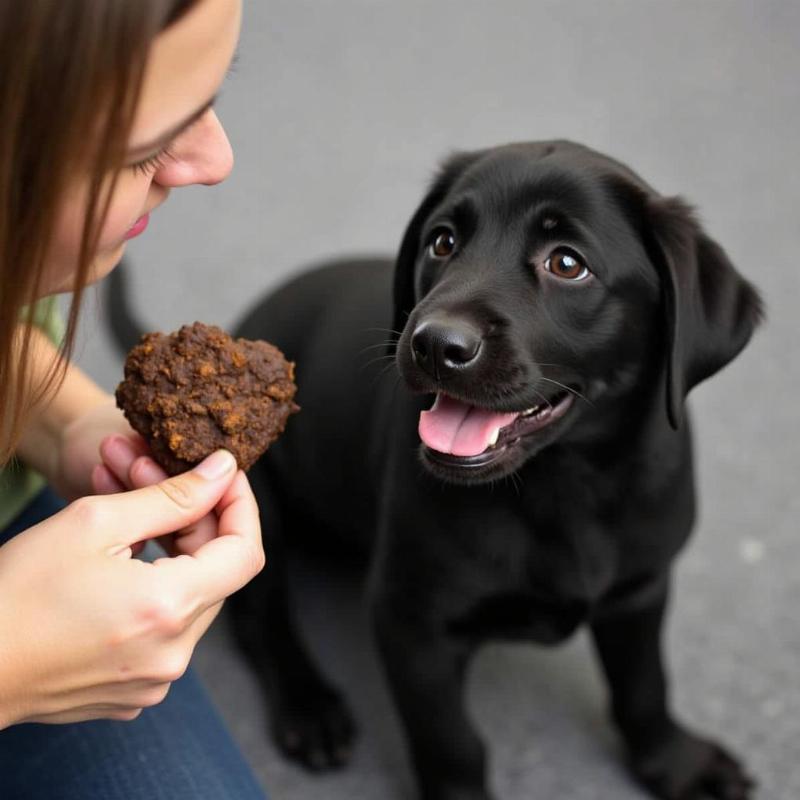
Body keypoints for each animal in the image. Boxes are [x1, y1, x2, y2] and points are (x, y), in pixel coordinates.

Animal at [108, 141, 764, 796]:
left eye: (567, 263)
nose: (435, 345)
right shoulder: (413, 623)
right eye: (443, 242)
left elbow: (645, 683)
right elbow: (451, 742)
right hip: (265, 504)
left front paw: (676, 762)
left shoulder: (641, 587)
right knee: (260, 614)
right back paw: (309, 705)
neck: (563, 485)